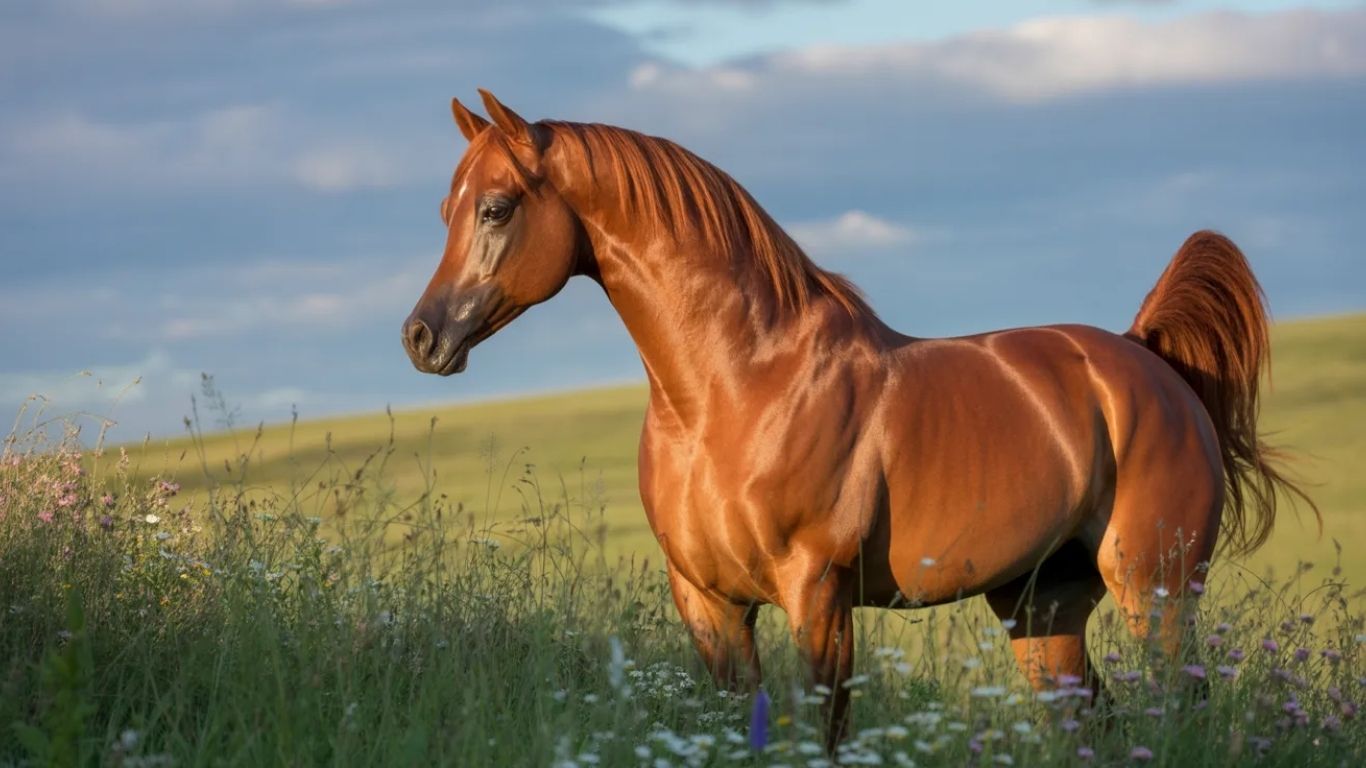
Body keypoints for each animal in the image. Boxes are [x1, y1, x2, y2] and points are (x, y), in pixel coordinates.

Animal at [401, 90, 1316, 748]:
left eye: (495, 207)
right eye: (443, 209)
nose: (422, 337)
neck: (734, 393)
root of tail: (1146, 360)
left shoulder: (817, 595)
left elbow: (824, 733)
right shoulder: (707, 603)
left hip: (1155, 591)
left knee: (1175, 709)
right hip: (1042, 607)